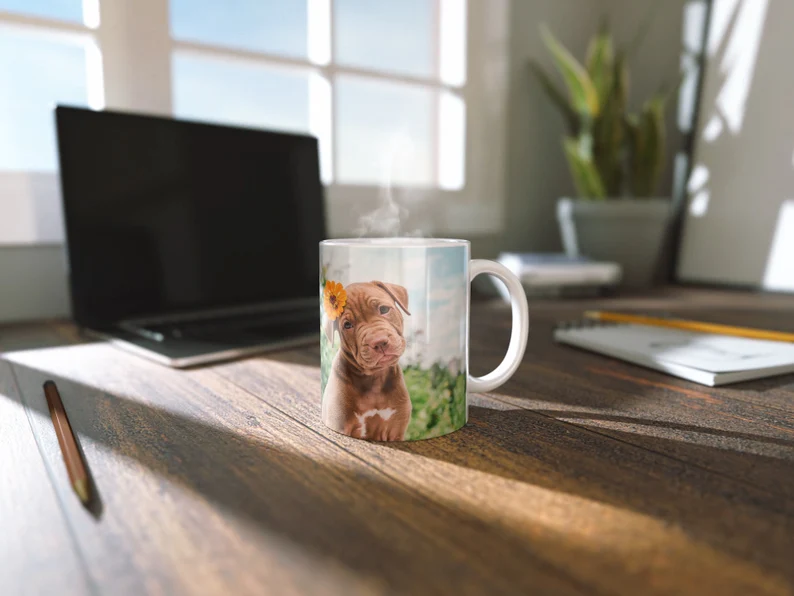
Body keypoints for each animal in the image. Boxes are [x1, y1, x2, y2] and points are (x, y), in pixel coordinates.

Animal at [322, 282, 412, 440]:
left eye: (384, 309)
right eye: (347, 325)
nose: (379, 342)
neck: (375, 379)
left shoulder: (396, 430)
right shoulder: (339, 422)